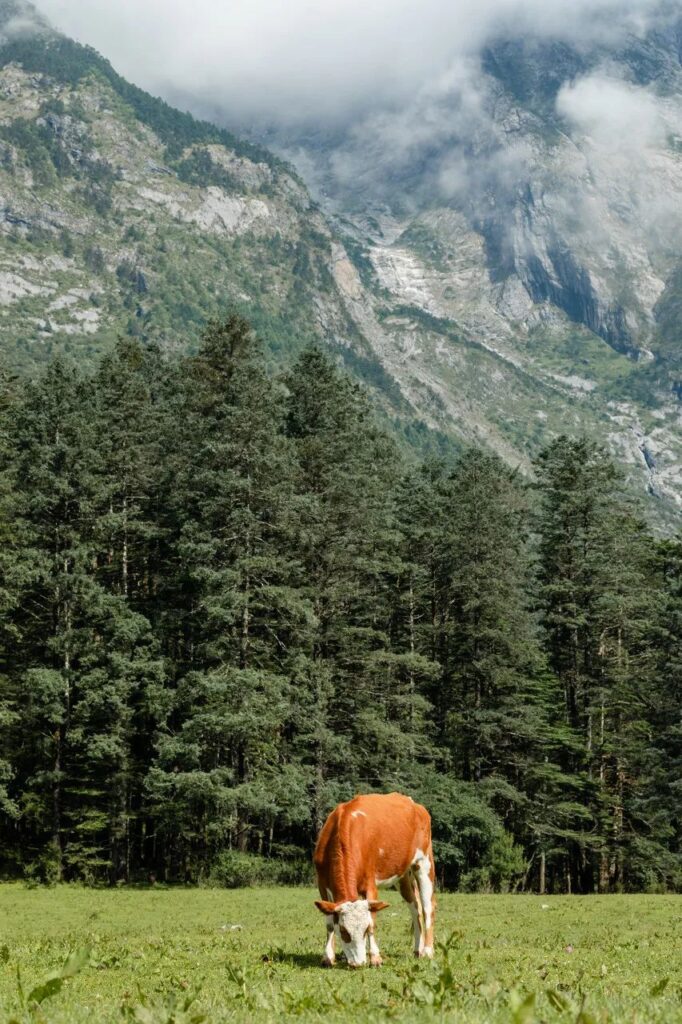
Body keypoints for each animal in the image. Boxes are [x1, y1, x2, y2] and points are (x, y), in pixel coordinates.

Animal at [313, 790, 436, 966]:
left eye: (364, 930)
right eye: (343, 930)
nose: (358, 963)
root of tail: (414, 804)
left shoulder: (370, 885)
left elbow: (372, 921)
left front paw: (375, 958)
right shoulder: (322, 883)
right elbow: (329, 923)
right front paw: (328, 957)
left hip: (424, 862)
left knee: (427, 907)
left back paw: (427, 950)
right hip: (403, 875)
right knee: (415, 907)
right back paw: (417, 949)